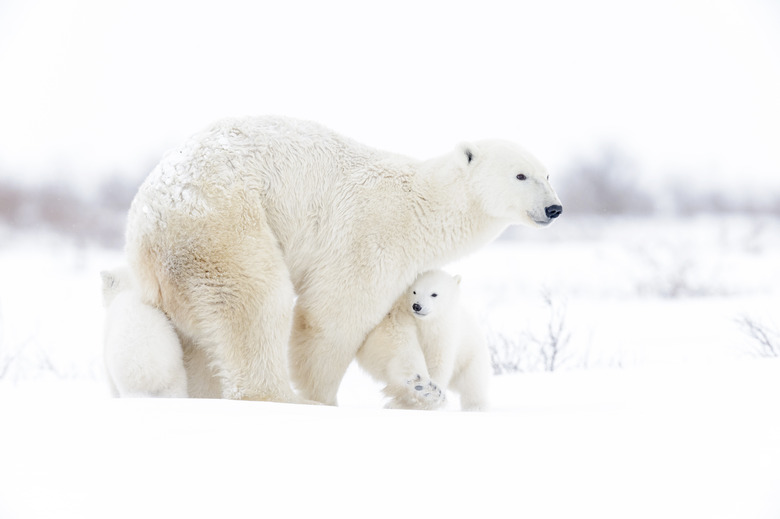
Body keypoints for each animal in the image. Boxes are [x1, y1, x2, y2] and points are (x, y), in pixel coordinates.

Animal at [358, 270, 490, 412]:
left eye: (434, 294)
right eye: (414, 291)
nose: (417, 306)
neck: (426, 324)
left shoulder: (443, 335)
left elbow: (438, 363)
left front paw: (431, 393)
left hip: (471, 356)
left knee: (473, 382)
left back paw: (476, 406)